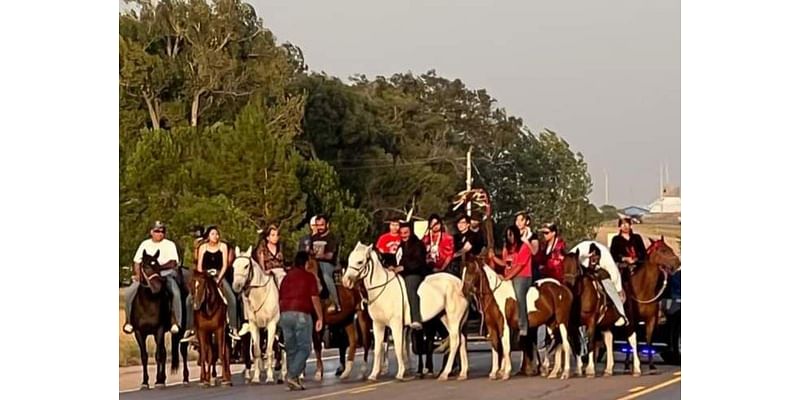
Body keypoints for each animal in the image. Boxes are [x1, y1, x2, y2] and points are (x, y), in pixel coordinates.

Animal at [231, 247, 288, 384]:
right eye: (233, 266)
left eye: (246, 266)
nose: (236, 286)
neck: (260, 294)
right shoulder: (254, 326)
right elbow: (257, 351)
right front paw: (256, 378)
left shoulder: (271, 325)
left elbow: (269, 351)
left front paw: (270, 377)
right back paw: (282, 375)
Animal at [342, 241, 468, 382]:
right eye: (349, 259)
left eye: (360, 262)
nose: (345, 281)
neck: (383, 288)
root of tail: (459, 283)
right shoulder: (378, 325)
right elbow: (378, 349)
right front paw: (374, 375)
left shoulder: (396, 324)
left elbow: (398, 347)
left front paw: (400, 373)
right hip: (446, 318)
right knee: (461, 340)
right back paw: (463, 373)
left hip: (453, 318)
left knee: (455, 340)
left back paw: (445, 373)